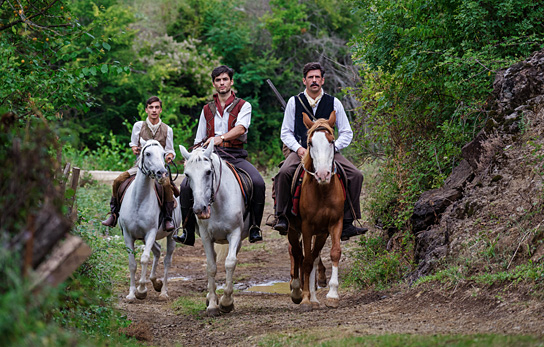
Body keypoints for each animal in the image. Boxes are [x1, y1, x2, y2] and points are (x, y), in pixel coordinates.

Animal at [118, 139, 182, 302]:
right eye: (147, 153)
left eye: (164, 154)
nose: (162, 173)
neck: (139, 200)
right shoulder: (128, 235)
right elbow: (132, 263)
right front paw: (131, 293)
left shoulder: (151, 233)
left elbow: (144, 258)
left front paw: (141, 290)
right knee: (158, 251)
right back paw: (155, 282)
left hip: (170, 236)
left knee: (166, 261)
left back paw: (163, 291)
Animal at [288, 110, 344, 312]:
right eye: (310, 143)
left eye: (332, 141)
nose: (322, 174)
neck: (323, 191)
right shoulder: (306, 227)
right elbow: (305, 260)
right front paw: (304, 298)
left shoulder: (335, 223)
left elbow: (334, 253)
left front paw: (332, 295)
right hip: (292, 229)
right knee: (297, 253)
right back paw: (298, 291)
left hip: (320, 233)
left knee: (313, 255)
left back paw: (313, 297)